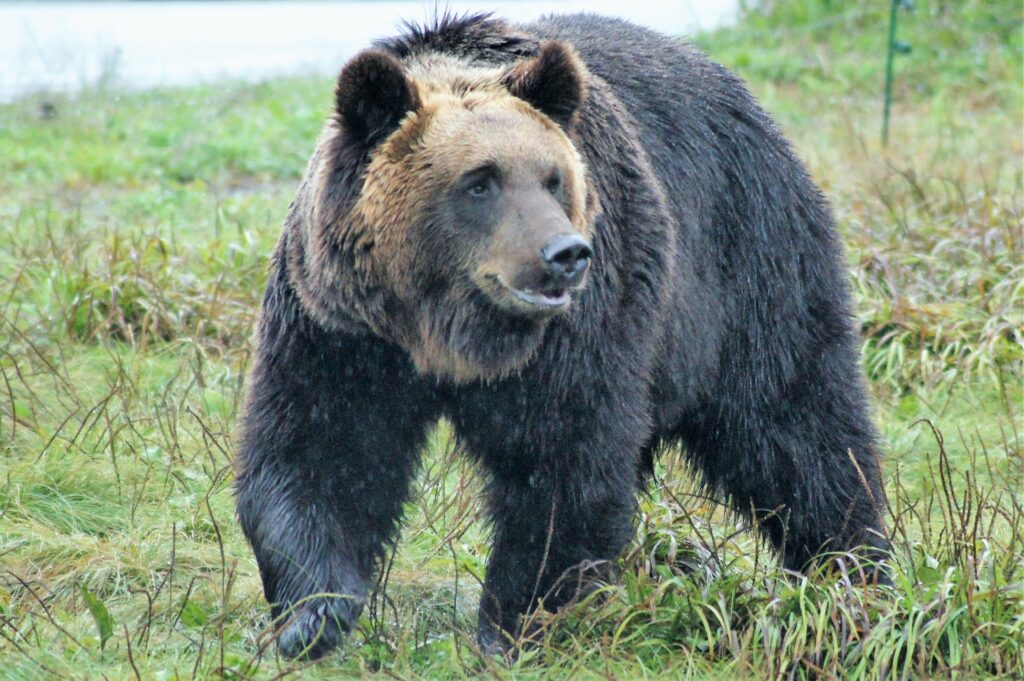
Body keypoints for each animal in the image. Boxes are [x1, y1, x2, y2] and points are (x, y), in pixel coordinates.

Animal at [232, 10, 888, 659]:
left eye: (552, 178)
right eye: (480, 181)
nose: (565, 254)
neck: (451, 334)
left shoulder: (578, 332)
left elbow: (562, 465)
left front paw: (513, 626)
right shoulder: (342, 328)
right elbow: (321, 451)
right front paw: (314, 617)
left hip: (749, 269)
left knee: (798, 430)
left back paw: (853, 576)